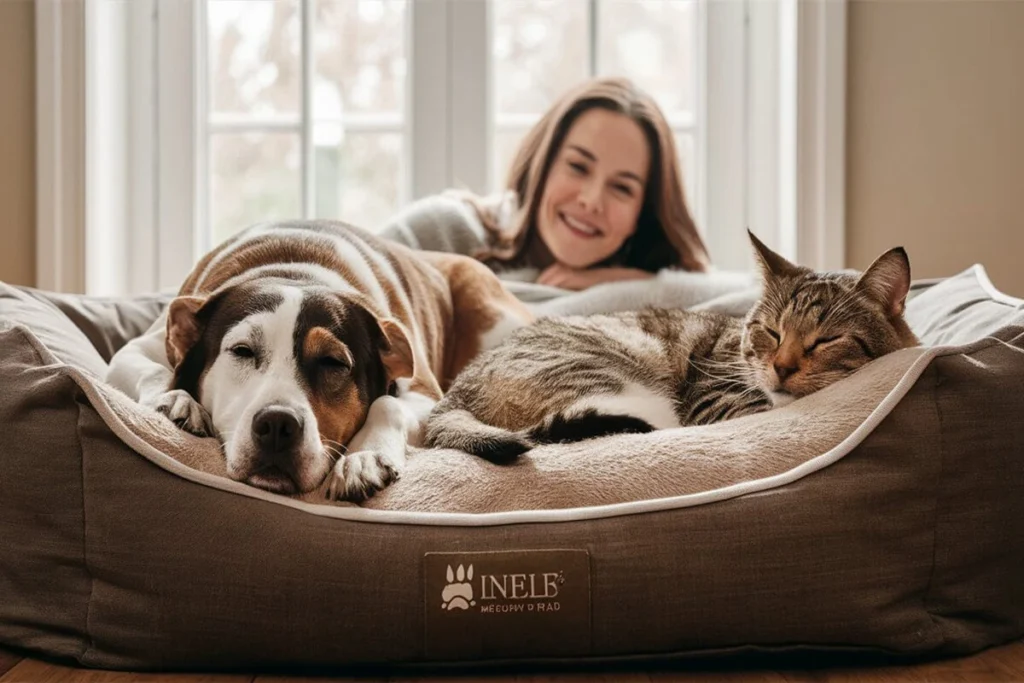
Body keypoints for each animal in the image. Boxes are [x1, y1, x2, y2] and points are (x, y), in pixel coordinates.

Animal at [107, 220, 532, 501]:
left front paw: (364, 457)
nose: (277, 425)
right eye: (242, 351)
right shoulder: (138, 348)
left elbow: (388, 403)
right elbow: (149, 368)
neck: (293, 268)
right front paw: (177, 401)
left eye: (332, 363)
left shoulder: (425, 393)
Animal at [423, 232, 921, 462]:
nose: (780, 367)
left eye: (827, 339)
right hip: (627, 390)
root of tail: (453, 393)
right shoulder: (713, 400)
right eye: (771, 331)